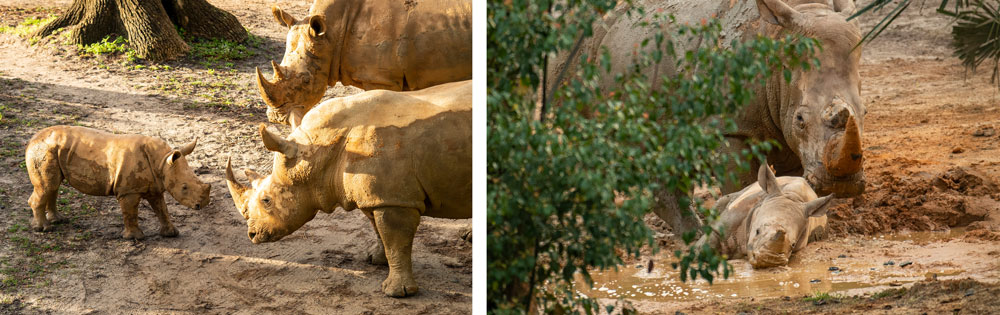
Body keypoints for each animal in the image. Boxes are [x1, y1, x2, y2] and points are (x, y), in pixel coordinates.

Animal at [24, 126, 211, 239]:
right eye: (184, 187)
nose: (203, 204)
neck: (162, 162)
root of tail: (31, 140)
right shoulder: (128, 191)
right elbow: (130, 212)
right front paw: (135, 238)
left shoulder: (155, 186)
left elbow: (162, 209)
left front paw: (171, 233)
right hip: (43, 150)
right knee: (47, 186)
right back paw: (43, 229)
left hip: (52, 149)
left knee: (53, 186)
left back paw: (58, 220)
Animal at [227, 80, 472, 298]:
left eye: (267, 200)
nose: (252, 235)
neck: (317, 153)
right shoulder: (376, 196)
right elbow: (379, 229)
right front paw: (375, 259)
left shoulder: (395, 199)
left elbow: (395, 240)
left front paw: (397, 293)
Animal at [548, 0, 868, 235]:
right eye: (801, 119)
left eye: (863, 112)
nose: (843, 185)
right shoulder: (731, 128)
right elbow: (742, 183)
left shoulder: (785, 126)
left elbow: (793, 185)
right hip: (572, 61)